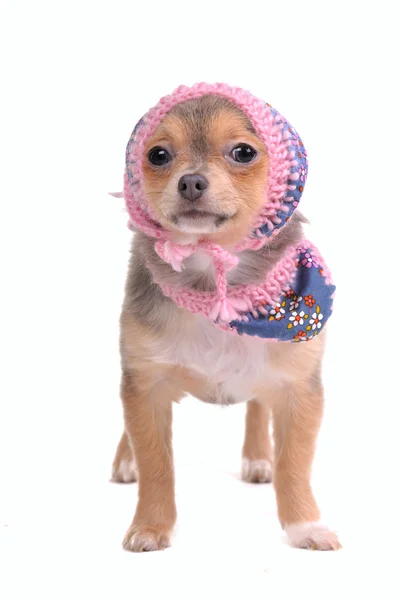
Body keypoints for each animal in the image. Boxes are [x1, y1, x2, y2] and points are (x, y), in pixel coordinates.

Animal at [110, 92, 340, 552]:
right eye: (158, 155)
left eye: (243, 152)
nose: (191, 182)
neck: (216, 279)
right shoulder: (146, 384)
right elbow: (156, 463)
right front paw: (151, 527)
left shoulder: (299, 389)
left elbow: (294, 465)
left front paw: (305, 526)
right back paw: (125, 462)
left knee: (257, 406)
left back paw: (258, 458)